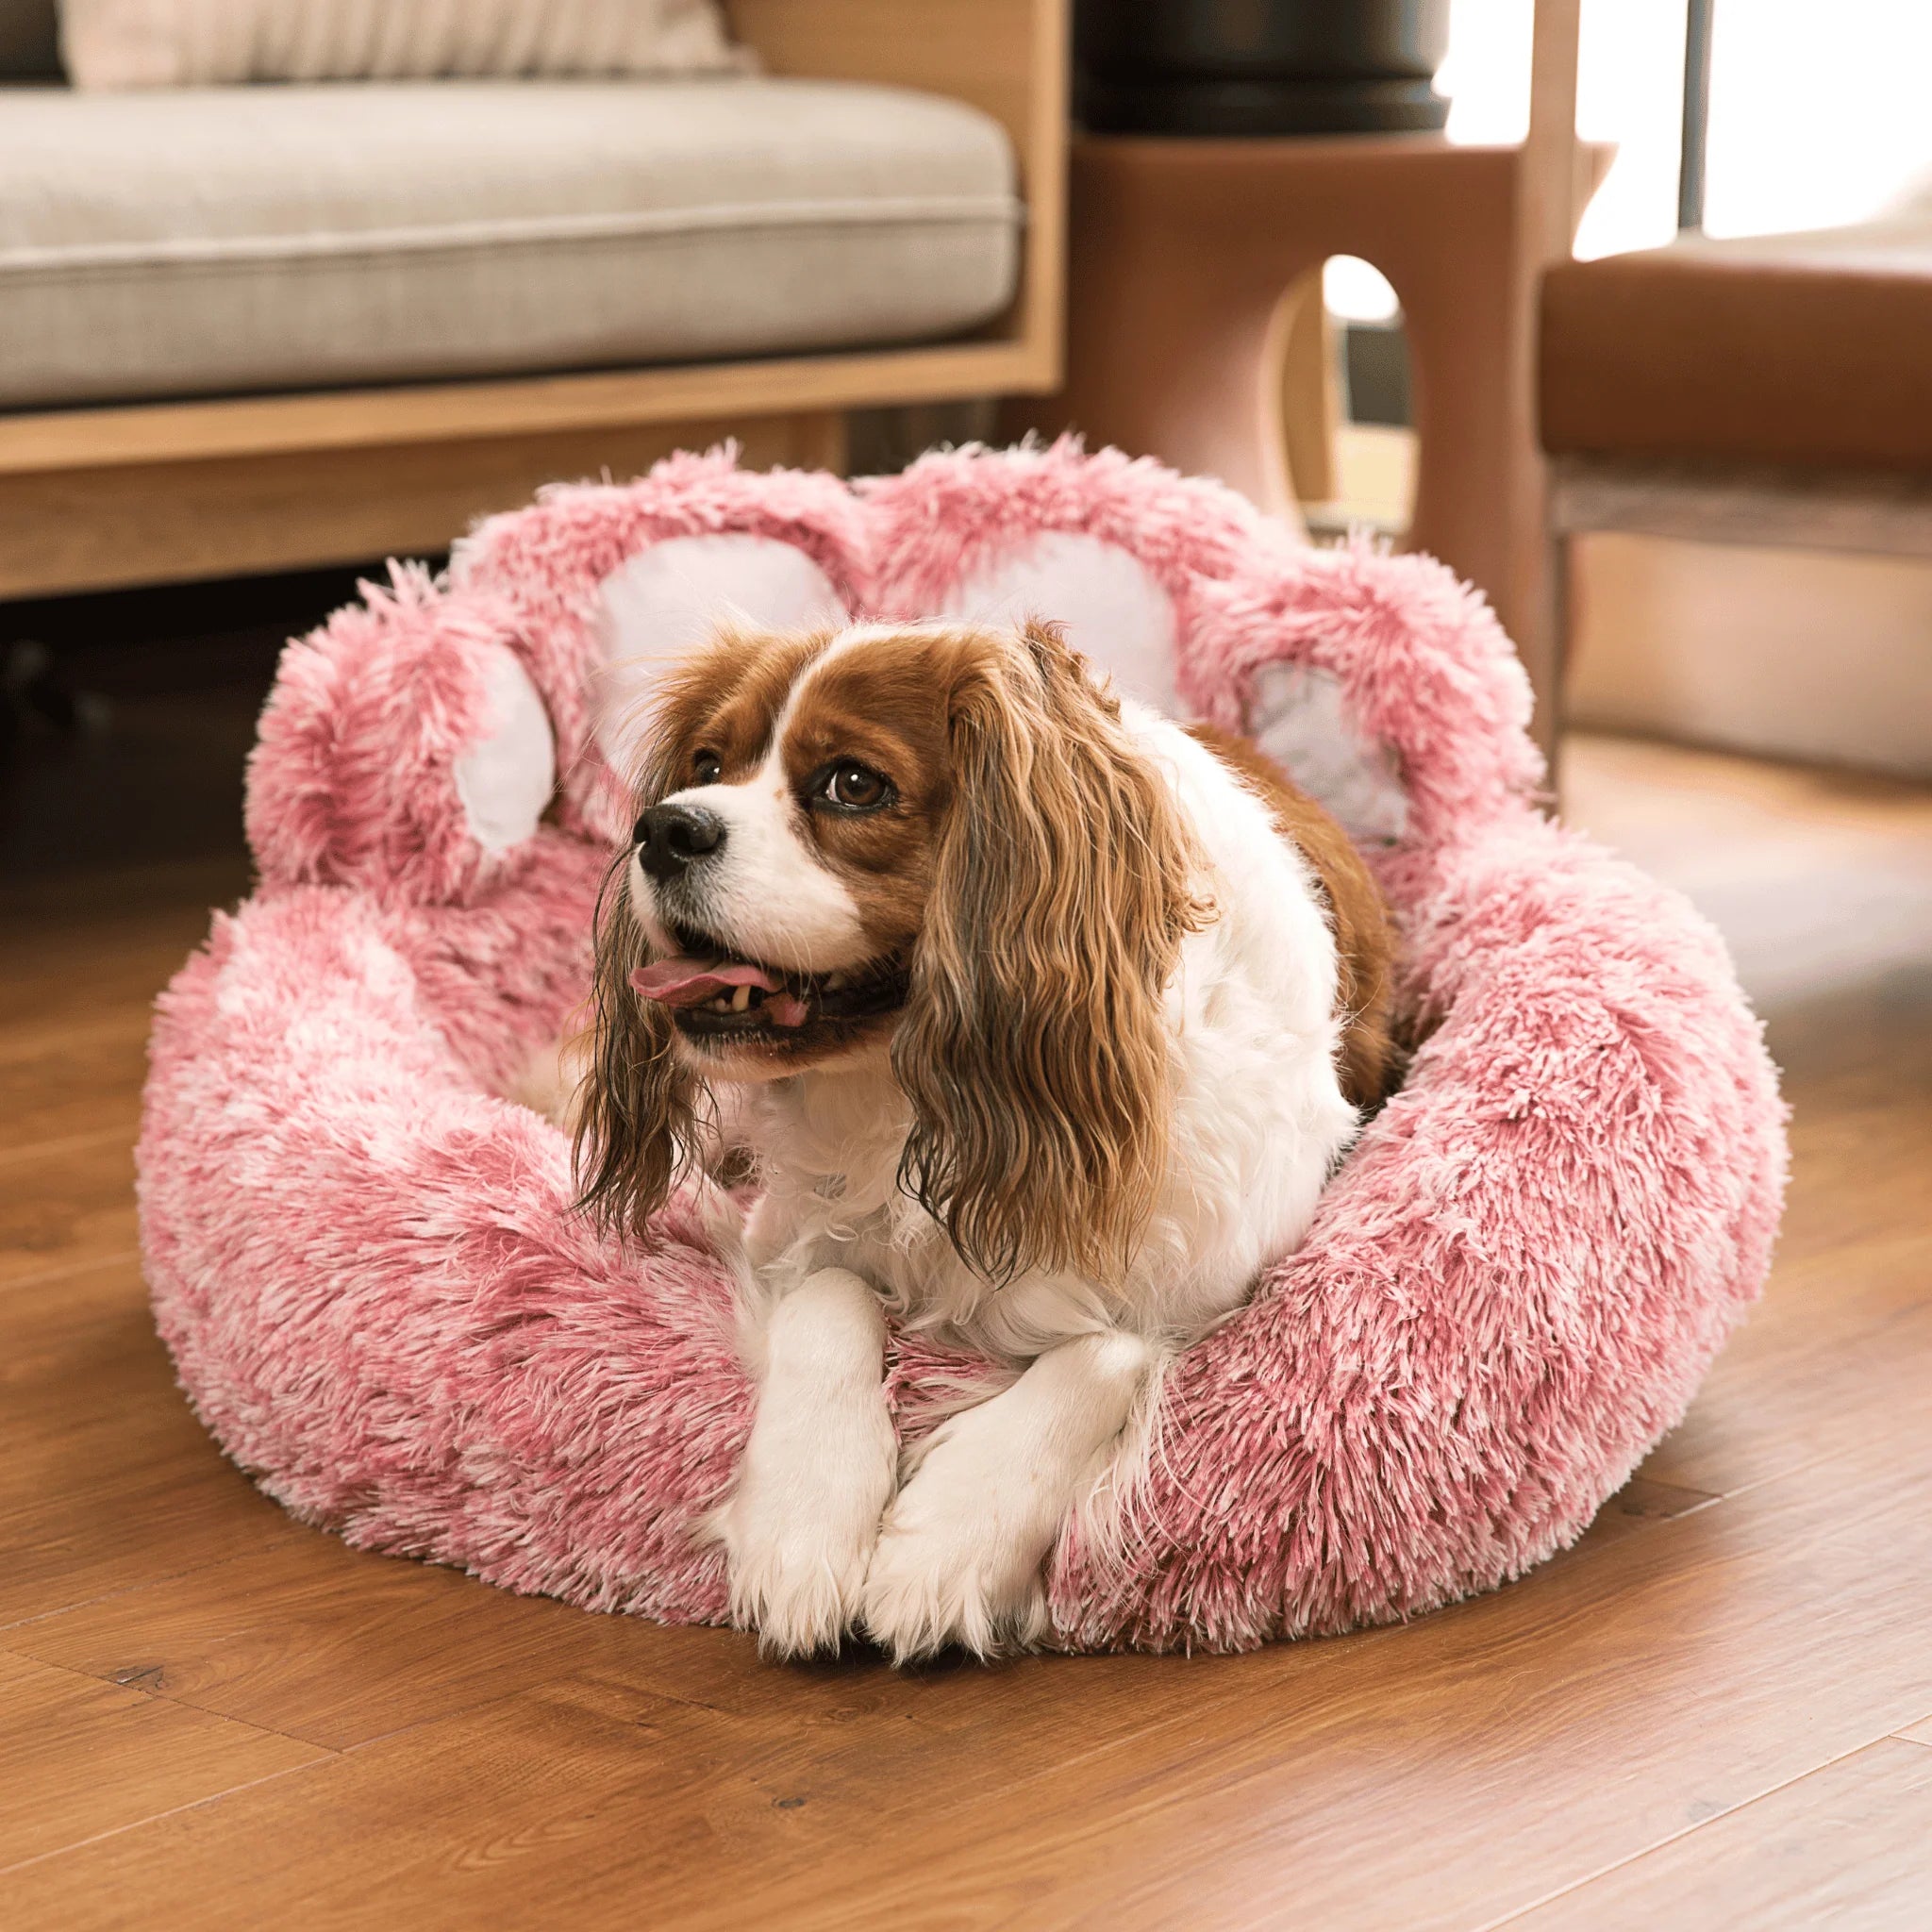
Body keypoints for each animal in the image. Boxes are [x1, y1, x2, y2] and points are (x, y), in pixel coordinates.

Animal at [572, 618, 1391, 1661]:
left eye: (852, 784)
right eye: (708, 764)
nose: (665, 827)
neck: (915, 1096)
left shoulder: (1214, 1286)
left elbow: (1106, 1350)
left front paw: (948, 1540)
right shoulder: (787, 1231)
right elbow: (830, 1295)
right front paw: (805, 1526)